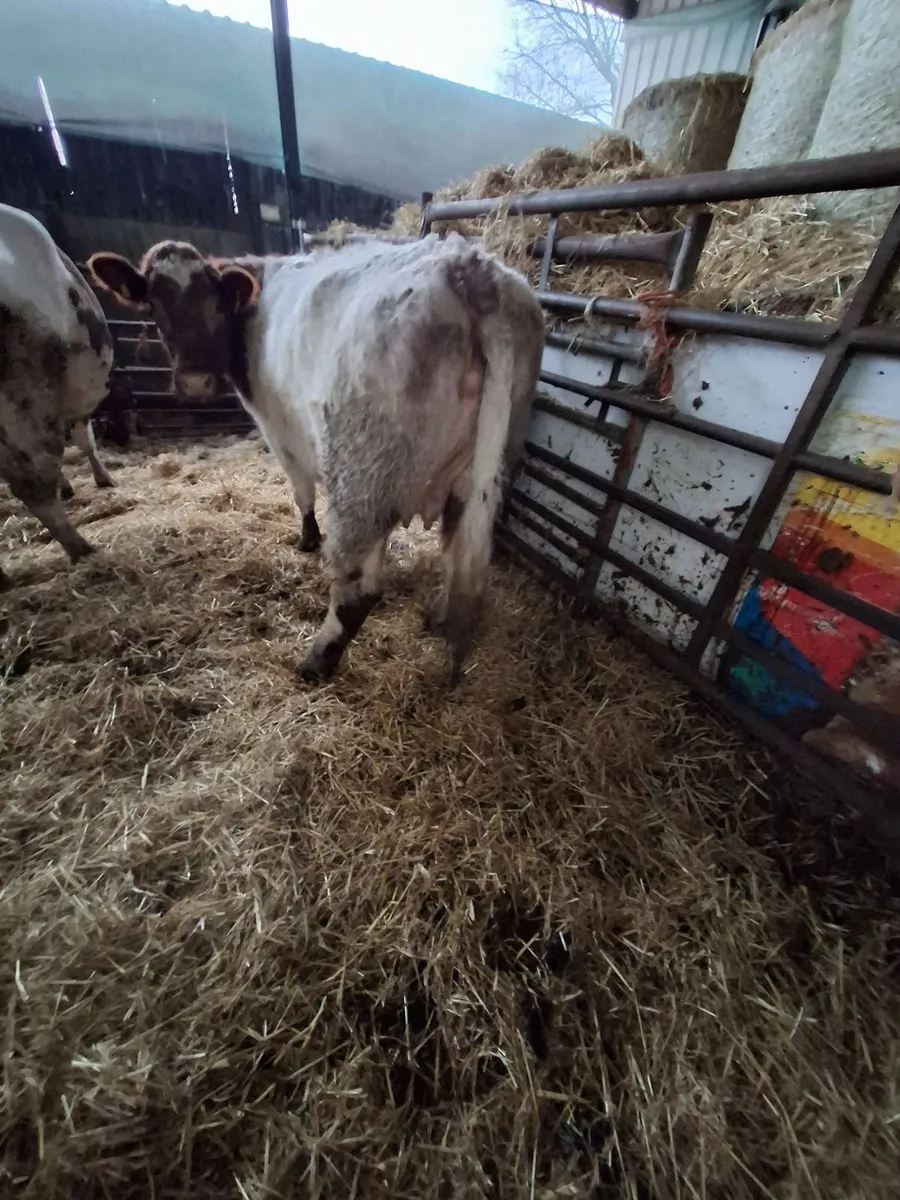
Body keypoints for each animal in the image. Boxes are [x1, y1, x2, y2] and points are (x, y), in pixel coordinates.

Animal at [87, 233, 544, 684]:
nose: (195, 381)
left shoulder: (278, 429)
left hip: (364, 478)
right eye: (154, 305)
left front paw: (307, 537)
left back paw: (317, 661)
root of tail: (471, 269)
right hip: (474, 472)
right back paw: (439, 619)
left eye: (214, 304)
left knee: (358, 590)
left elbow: (301, 490)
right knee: (458, 559)